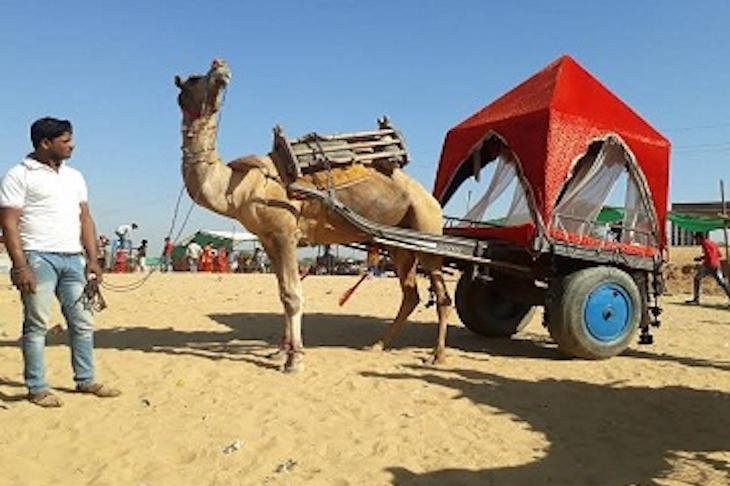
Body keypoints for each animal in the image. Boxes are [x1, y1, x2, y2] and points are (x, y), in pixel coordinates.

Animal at [175, 59, 451, 372]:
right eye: (194, 79)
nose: (221, 66)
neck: (242, 187)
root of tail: (430, 198)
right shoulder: (268, 239)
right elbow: (282, 293)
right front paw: (280, 352)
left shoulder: (285, 234)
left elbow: (293, 295)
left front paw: (295, 359)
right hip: (399, 244)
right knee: (410, 293)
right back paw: (379, 344)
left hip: (426, 230)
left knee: (441, 295)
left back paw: (438, 355)